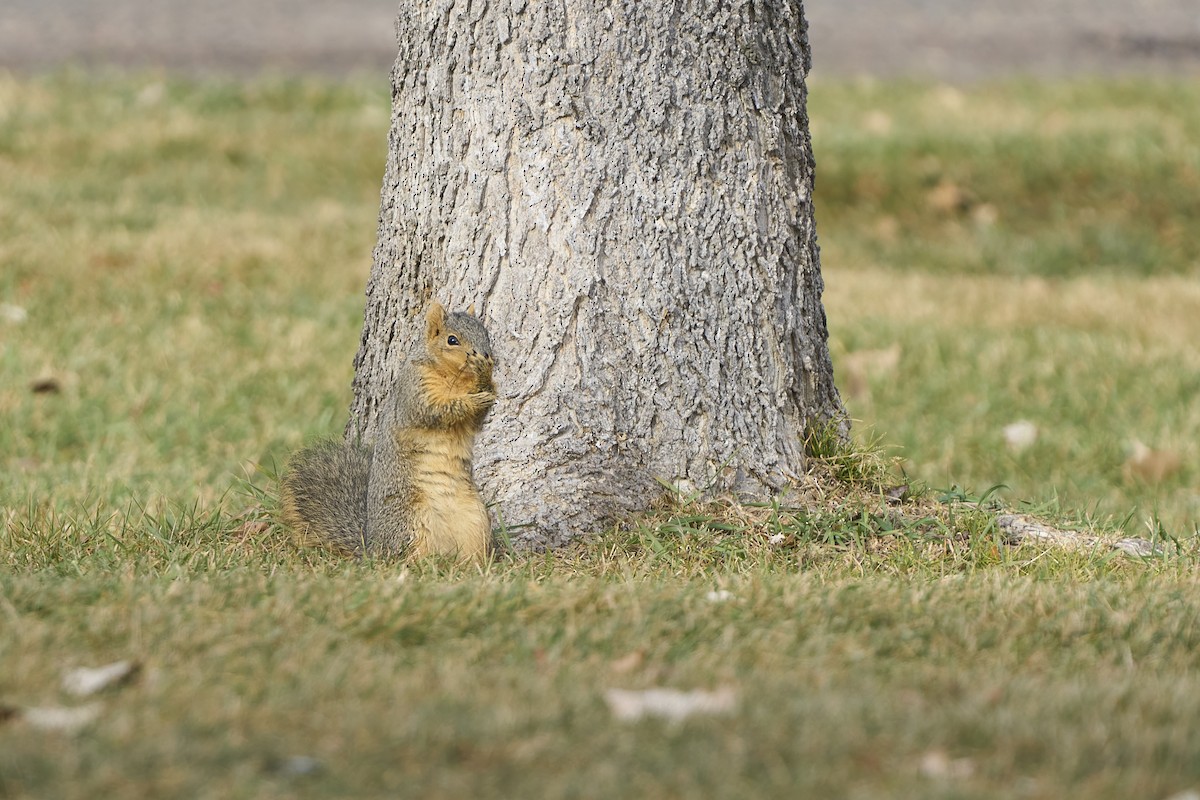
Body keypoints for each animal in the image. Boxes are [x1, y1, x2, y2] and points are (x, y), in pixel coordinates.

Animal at [280, 301, 497, 563]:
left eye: (485, 333)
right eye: (452, 340)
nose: (486, 356)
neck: (457, 379)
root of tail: (372, 546)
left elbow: (476, 422)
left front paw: (489, 381)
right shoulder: (414, 392)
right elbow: (436, 411)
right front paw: (475, 396)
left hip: (475, 521)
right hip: (409, 522)